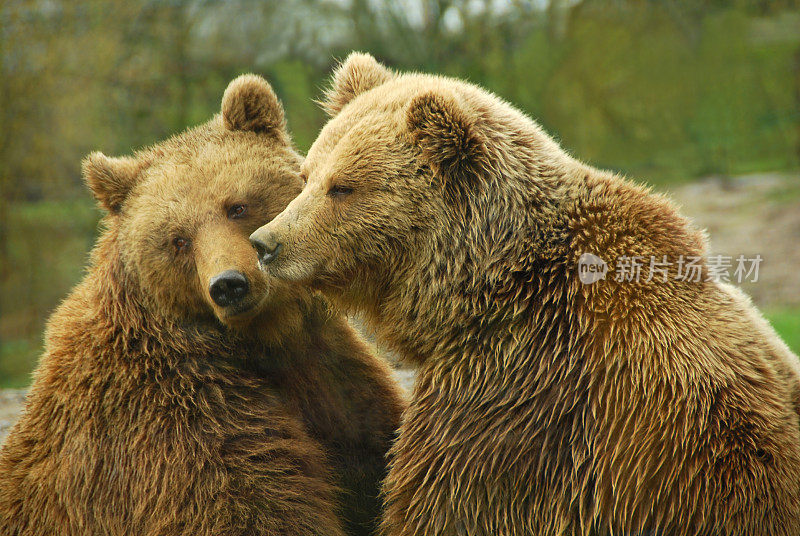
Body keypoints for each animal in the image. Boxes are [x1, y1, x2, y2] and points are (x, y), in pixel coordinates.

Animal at [0, 73, 406, 536]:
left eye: (237, 206)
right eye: (178, 240)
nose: (228, 285)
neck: (263, 340)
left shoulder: (332, 380)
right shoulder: (180, 419)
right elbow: (252, 505)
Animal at [250, 53, 800, 536]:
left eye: (343, 187)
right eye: (306, 176)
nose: (266, 243)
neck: (481, 286)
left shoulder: (521, 394)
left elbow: (452, 501)